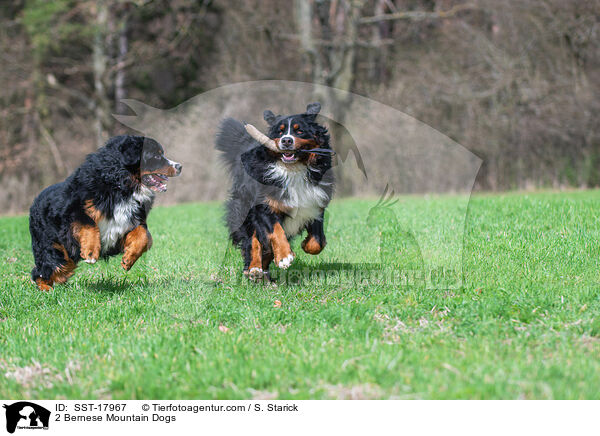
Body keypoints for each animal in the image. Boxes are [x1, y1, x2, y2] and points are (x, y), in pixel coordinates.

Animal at [28, 135, 180, 290]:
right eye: (156, 155)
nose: (179, 166)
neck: (120, 187)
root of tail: (35, 201)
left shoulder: (129, 223)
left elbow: (143, 236)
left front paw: (129, 259)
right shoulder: (73, 212)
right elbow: (89, 225)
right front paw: (90, 252)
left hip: (67, 256)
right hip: (54, 250)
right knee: (42, 270)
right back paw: (46, 290)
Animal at [214, 102, 332, 280]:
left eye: (299, 131)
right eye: (280, 131)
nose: (287, 140)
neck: (293, 170)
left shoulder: (315, 204)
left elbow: (318, 242)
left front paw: (306, 245)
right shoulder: (264, 206)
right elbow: (275, 231)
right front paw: (284, 256)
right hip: (245, 208)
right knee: (252, 240)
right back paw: (254, 268)